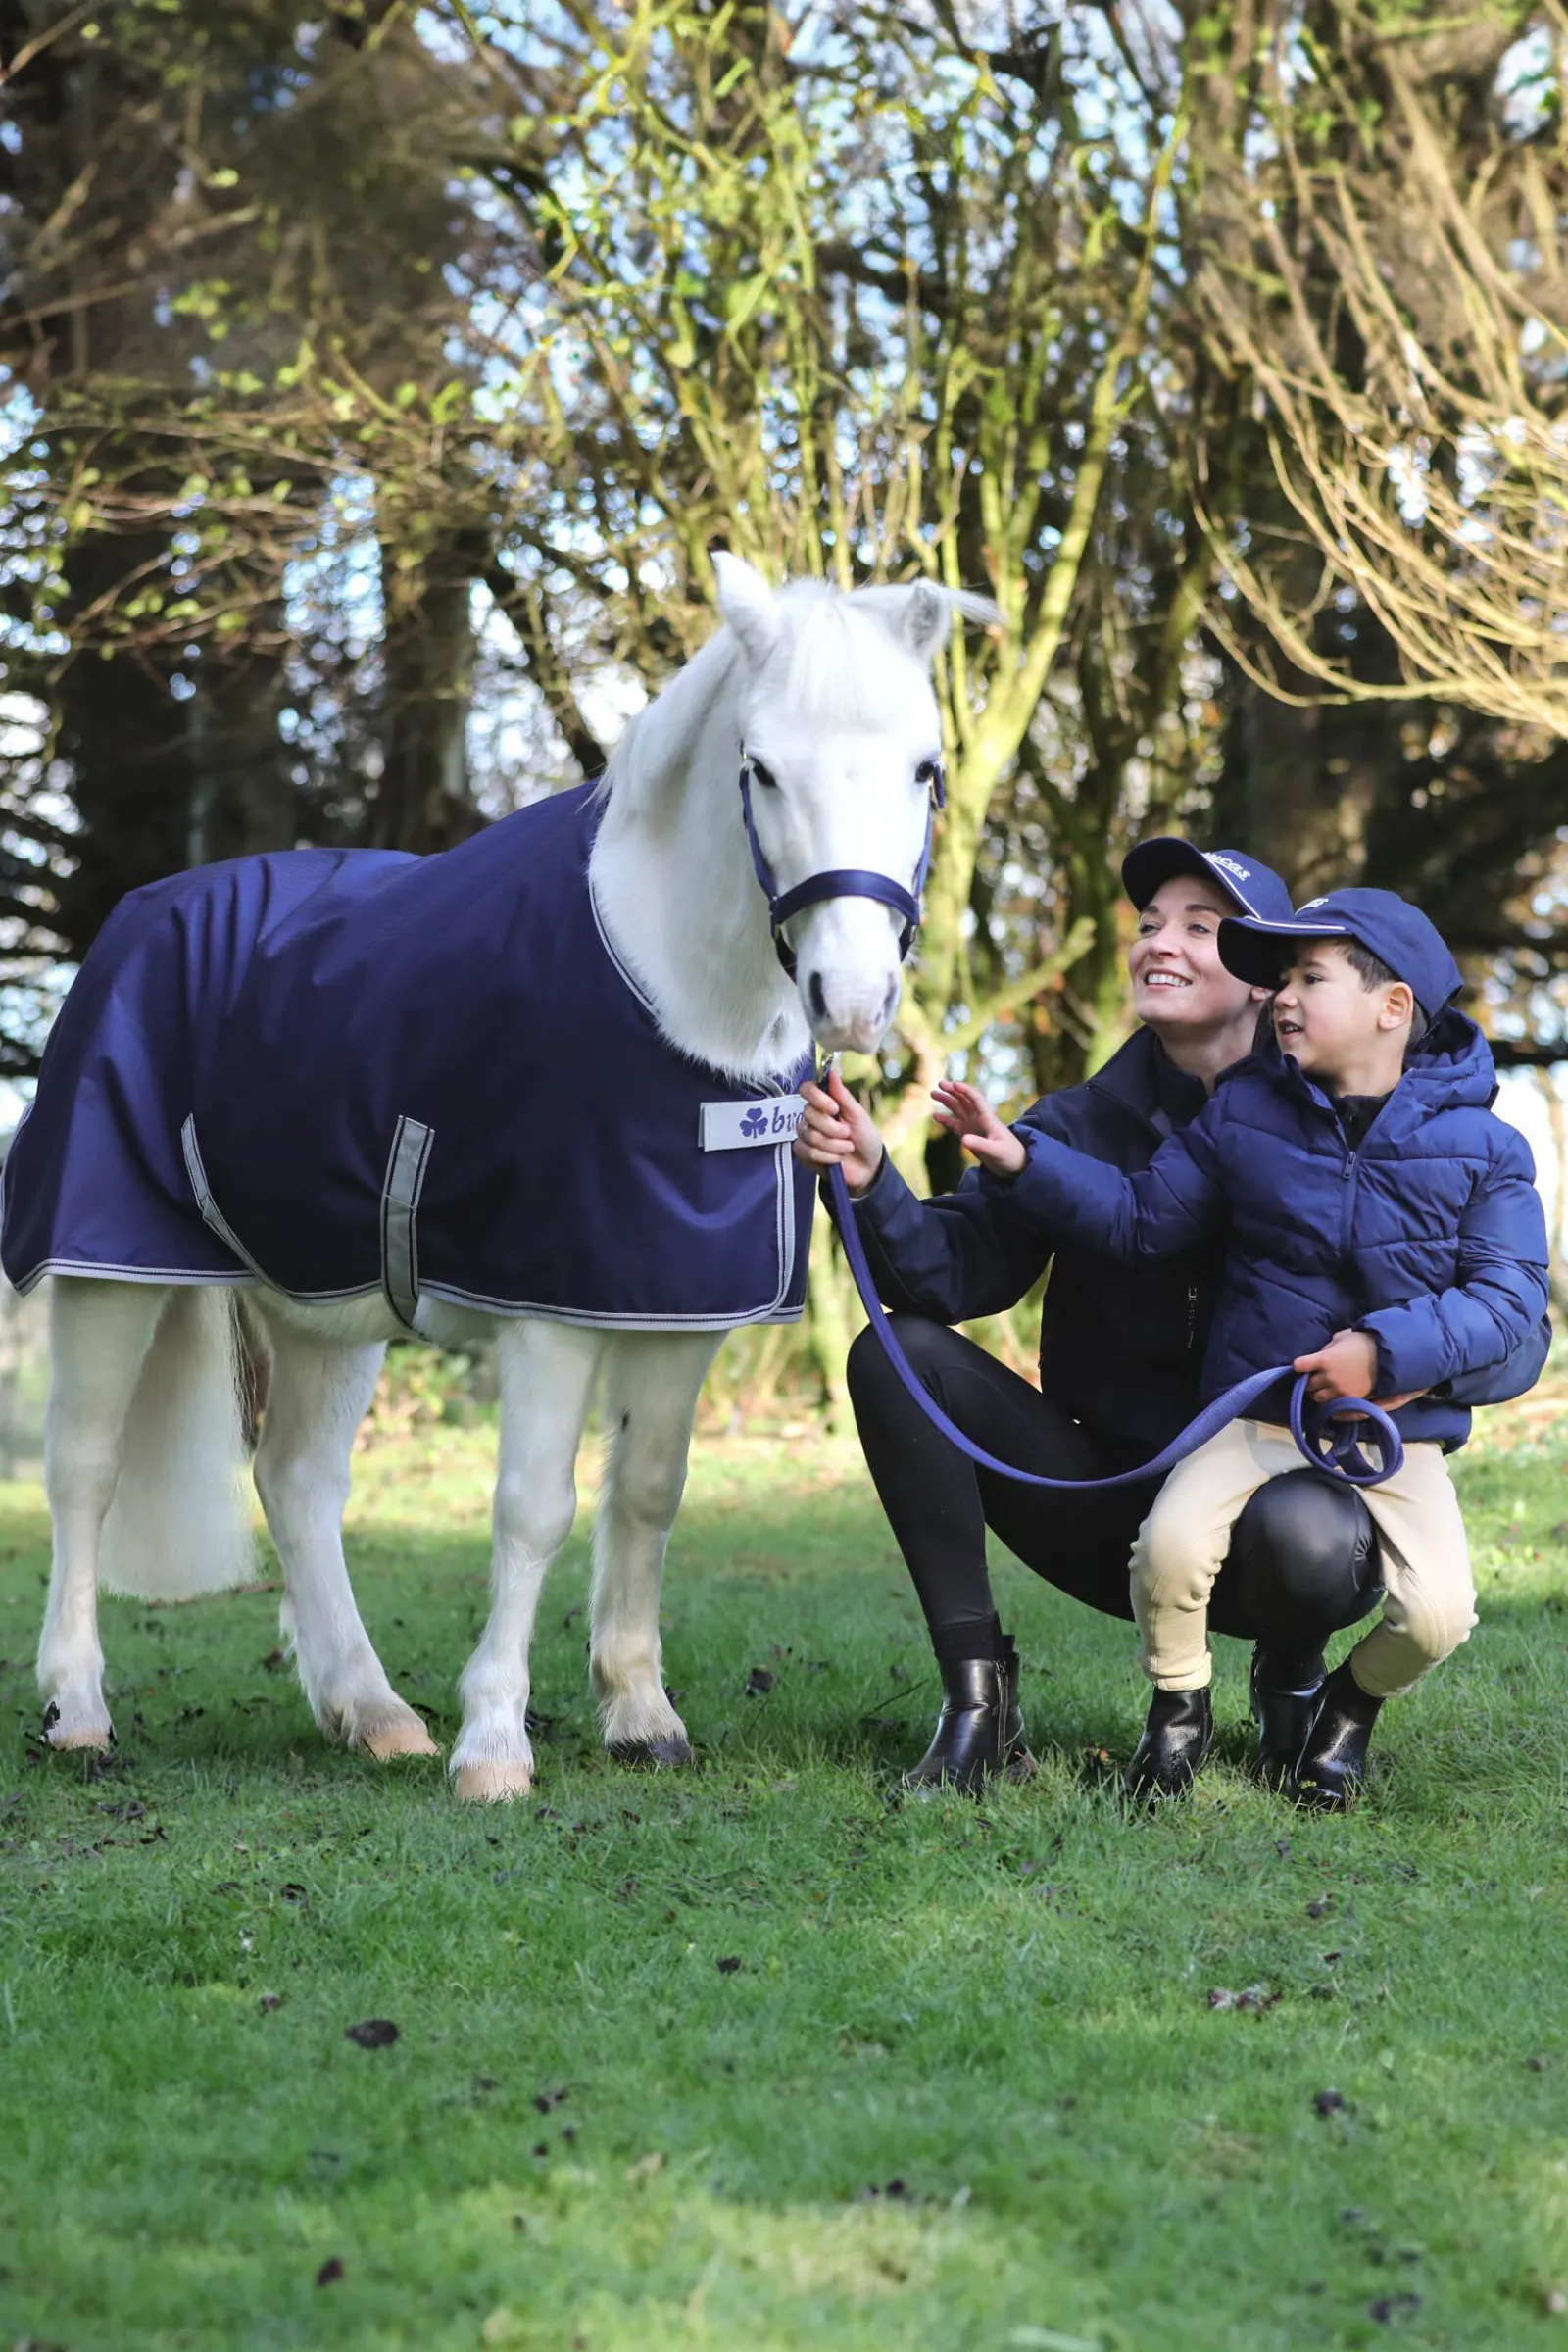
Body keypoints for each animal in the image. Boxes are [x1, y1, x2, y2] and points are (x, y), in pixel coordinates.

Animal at [7, 554, 993, 1801]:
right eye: (760, 768)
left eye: (925, 767)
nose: (852, 1002)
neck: (670, 1002)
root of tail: (138, 920)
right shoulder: (548, 1312)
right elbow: (534, 1512)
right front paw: (493, 1747)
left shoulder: (679, 1310)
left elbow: (649, 1491)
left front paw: (640, 1716)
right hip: (110, 1274)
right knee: (82, 1473)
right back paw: (78, 1710)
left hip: (325, 1310)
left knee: (296, 1482)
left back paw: (373, 1712)